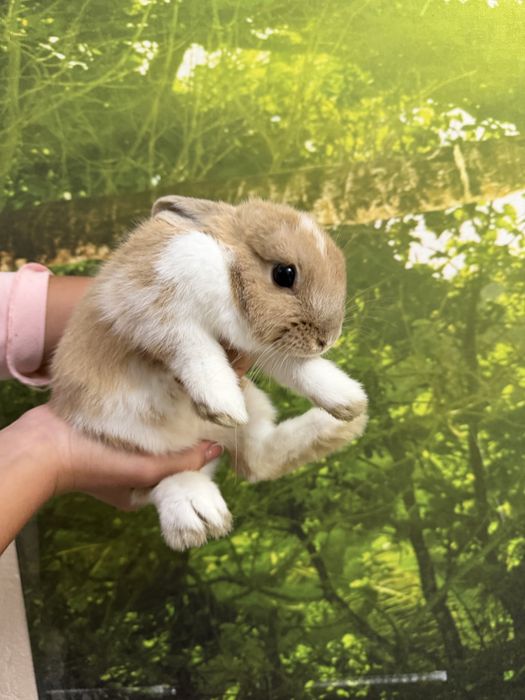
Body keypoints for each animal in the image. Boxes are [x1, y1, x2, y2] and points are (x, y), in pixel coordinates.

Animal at [50, 196, 368, 551]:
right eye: (284, 274)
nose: (328, 338)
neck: (228, 272)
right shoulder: (156, 310)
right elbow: (197, 351)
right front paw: (224, 404)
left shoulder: (262, 347)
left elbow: (300, 369)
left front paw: (350, 400)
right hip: (126, 436)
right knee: (158, 481)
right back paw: (197, 515)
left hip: (253, 408)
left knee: (256, 460)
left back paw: (339, 428)